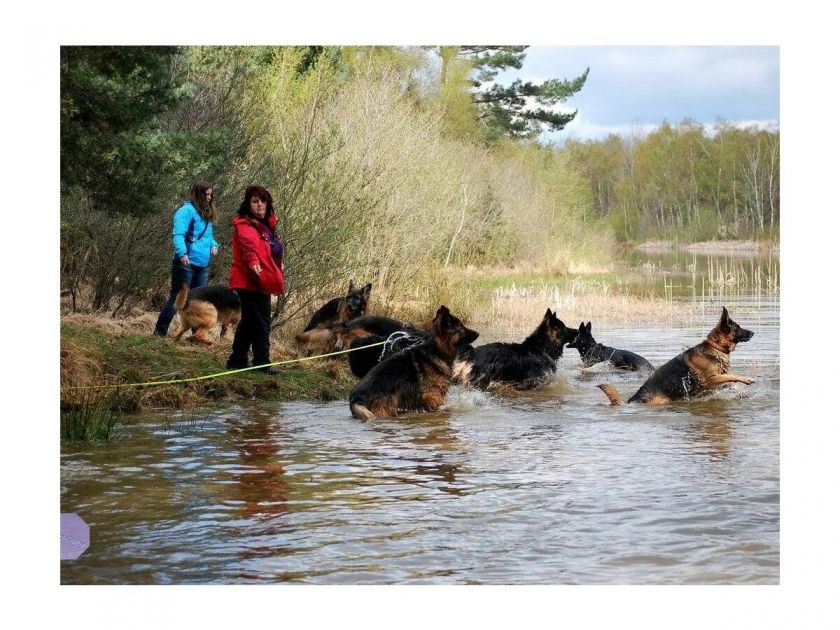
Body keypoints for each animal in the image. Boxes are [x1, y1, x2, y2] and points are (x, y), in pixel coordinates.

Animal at [596, 308, 756, 408]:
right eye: (737, 328)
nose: (753, 332)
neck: (715, 347)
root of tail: (633, 400)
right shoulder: (709, 380)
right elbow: (732, 376)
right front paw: (747, 379)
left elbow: (728, 382)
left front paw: (739, 393)